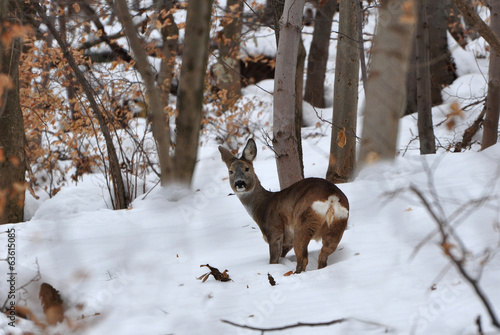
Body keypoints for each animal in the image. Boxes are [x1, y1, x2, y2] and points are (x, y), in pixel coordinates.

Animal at [217, 139, 350, 272]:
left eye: (247, 168)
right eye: (230, 171)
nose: (239, 183)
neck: (262, 206)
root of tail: (332, 197)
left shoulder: (275, 231)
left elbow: (273, 260)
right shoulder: (288, 240)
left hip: (303, 223)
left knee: (303, 259)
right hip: (337, 225)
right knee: (323, 256)